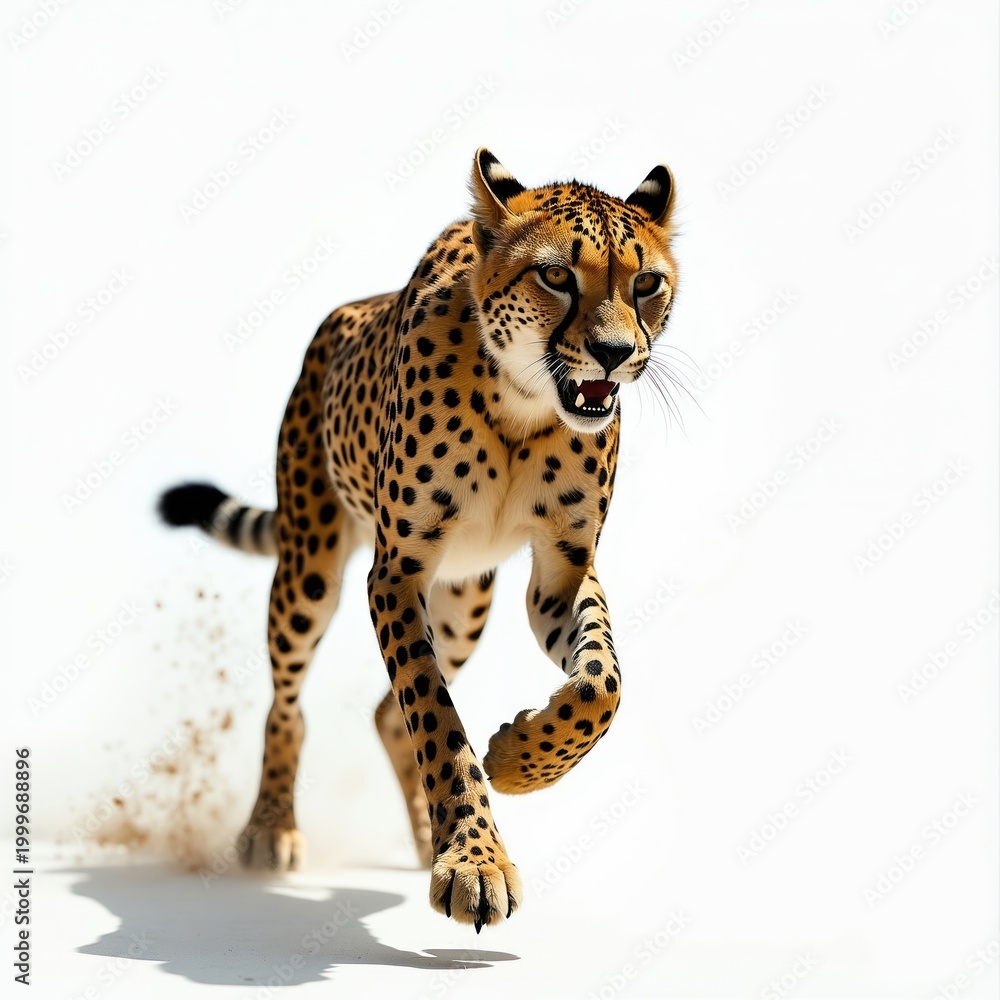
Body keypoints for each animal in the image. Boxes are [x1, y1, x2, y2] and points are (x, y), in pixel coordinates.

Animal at [159, 148, 679, 931]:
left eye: (646, 283)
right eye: (557, 276)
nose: (615, 354)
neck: (522, 406)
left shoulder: (561, 573)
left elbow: (601, 684)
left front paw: (519, 763)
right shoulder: (395, 572)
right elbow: (434, 714)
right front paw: (474, 861)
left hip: (466, 602)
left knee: (383, 712)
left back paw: (417, 832)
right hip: (310, 573)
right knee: (289, 704)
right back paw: (272, 826)